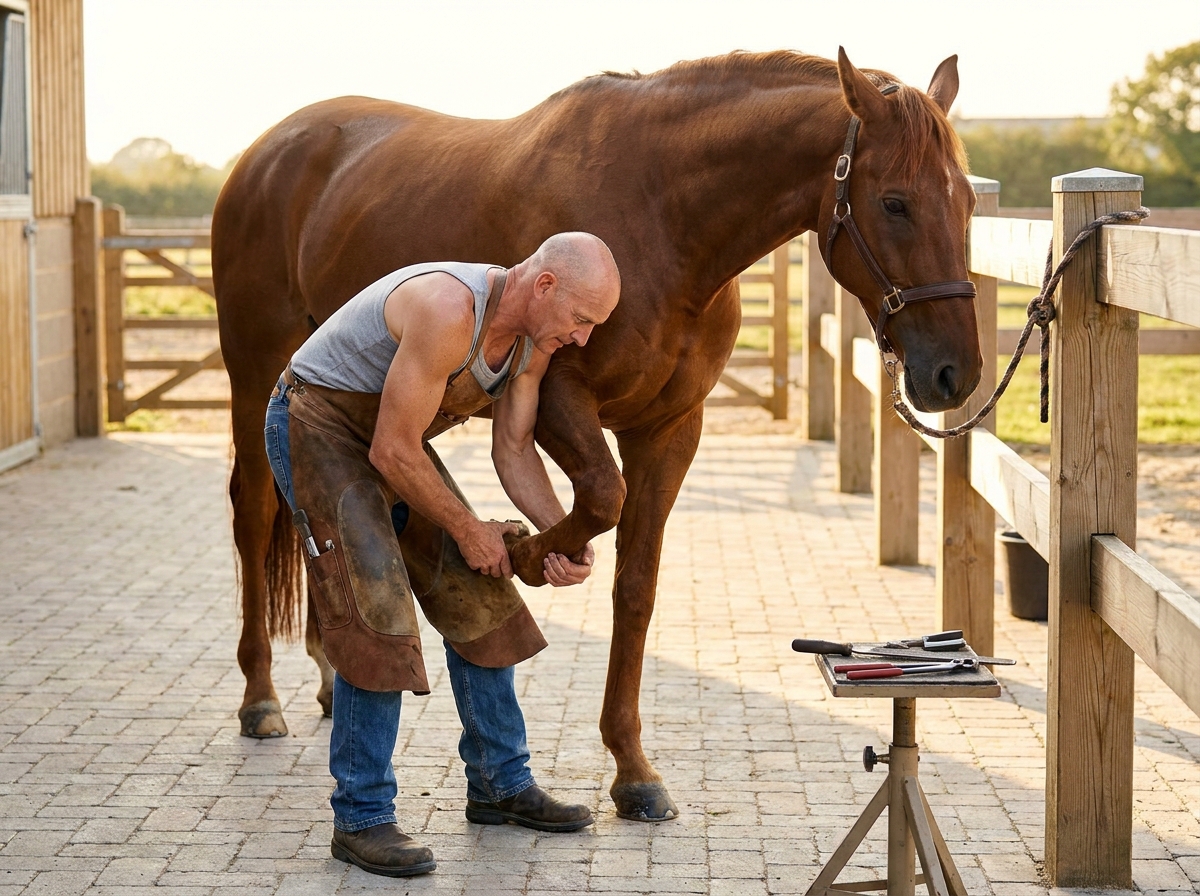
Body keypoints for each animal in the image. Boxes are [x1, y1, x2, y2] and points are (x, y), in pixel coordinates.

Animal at [211, 47, 981, 822]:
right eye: (895, 202)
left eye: (969, 204)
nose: (956, 372)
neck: (664, 215)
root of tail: (264, 152)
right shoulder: (558, 398)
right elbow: (602, 498)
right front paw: (524, 555)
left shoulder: (670, 428)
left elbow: (635, 585)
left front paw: (633, 769)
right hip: (254, 375)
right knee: (255, 512)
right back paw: (261, 698)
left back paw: (326, 675)